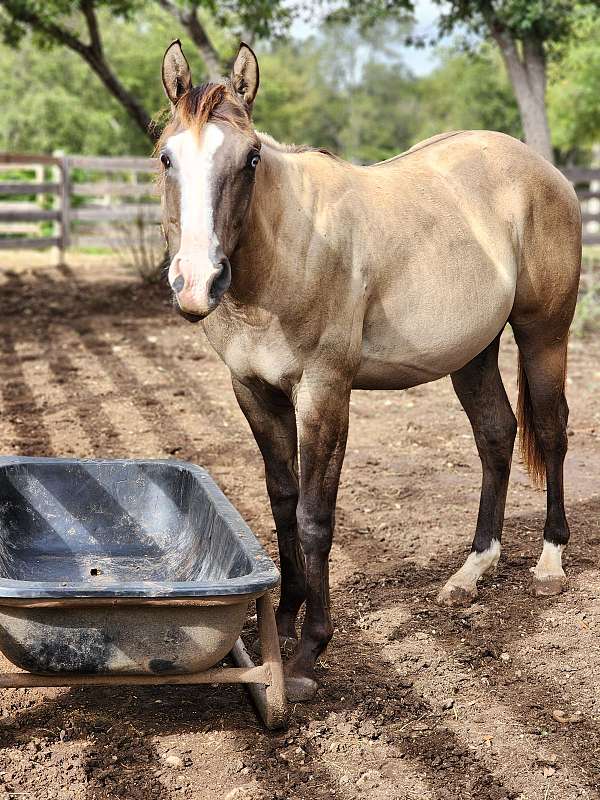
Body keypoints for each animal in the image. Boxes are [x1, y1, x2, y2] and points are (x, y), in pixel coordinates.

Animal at [157, 42, 580, 700]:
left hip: (544, 334)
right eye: (167, 157)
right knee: (496, 434)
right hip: (474, 353)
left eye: (250, 158)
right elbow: (282, 502)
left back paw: (550, 562)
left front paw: (309, 650)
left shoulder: (325, 391)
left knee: (553, 432)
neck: (286, 253)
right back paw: (472, 570)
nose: (197, 281)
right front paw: (283, 618)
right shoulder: (253, 391)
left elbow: (314, 517)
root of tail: (543, 171)